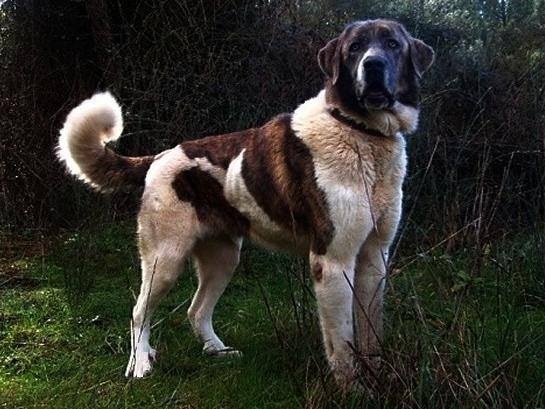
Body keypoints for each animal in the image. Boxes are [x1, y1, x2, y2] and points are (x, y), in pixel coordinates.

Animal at [57, 19, 434, 388]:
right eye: (355, 48)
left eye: (392, 44)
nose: (374, 65)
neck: (360, 131)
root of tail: (159, 158)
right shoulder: (333, 261)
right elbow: (342, 344)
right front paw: (353, 390)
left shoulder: (374, 258)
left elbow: (371, 333)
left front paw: (380, 375)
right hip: (165, 260)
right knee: (139, 313)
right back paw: (140, 364)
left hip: (223, 258)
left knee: (196, 310)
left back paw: (217, 351)